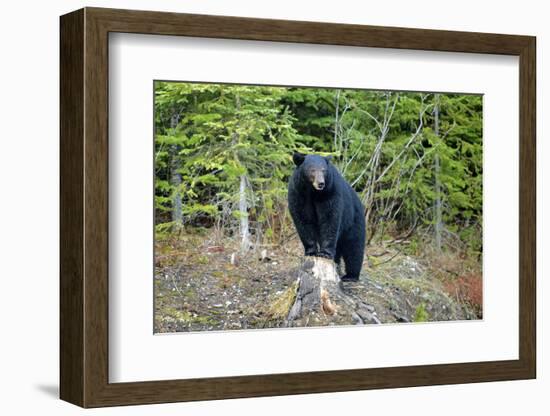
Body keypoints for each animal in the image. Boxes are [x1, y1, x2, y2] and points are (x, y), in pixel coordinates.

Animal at [288, 153, 366, 282]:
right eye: (312, 170)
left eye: (324, 170)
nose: (321, 183)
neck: (312, 192)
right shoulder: (298, 194)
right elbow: (303, 219)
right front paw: (311, 251)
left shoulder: (330, 193)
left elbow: (330, 218)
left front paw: (325, 253)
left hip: (354, 220)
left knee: (354, 246)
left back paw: (351, 275)